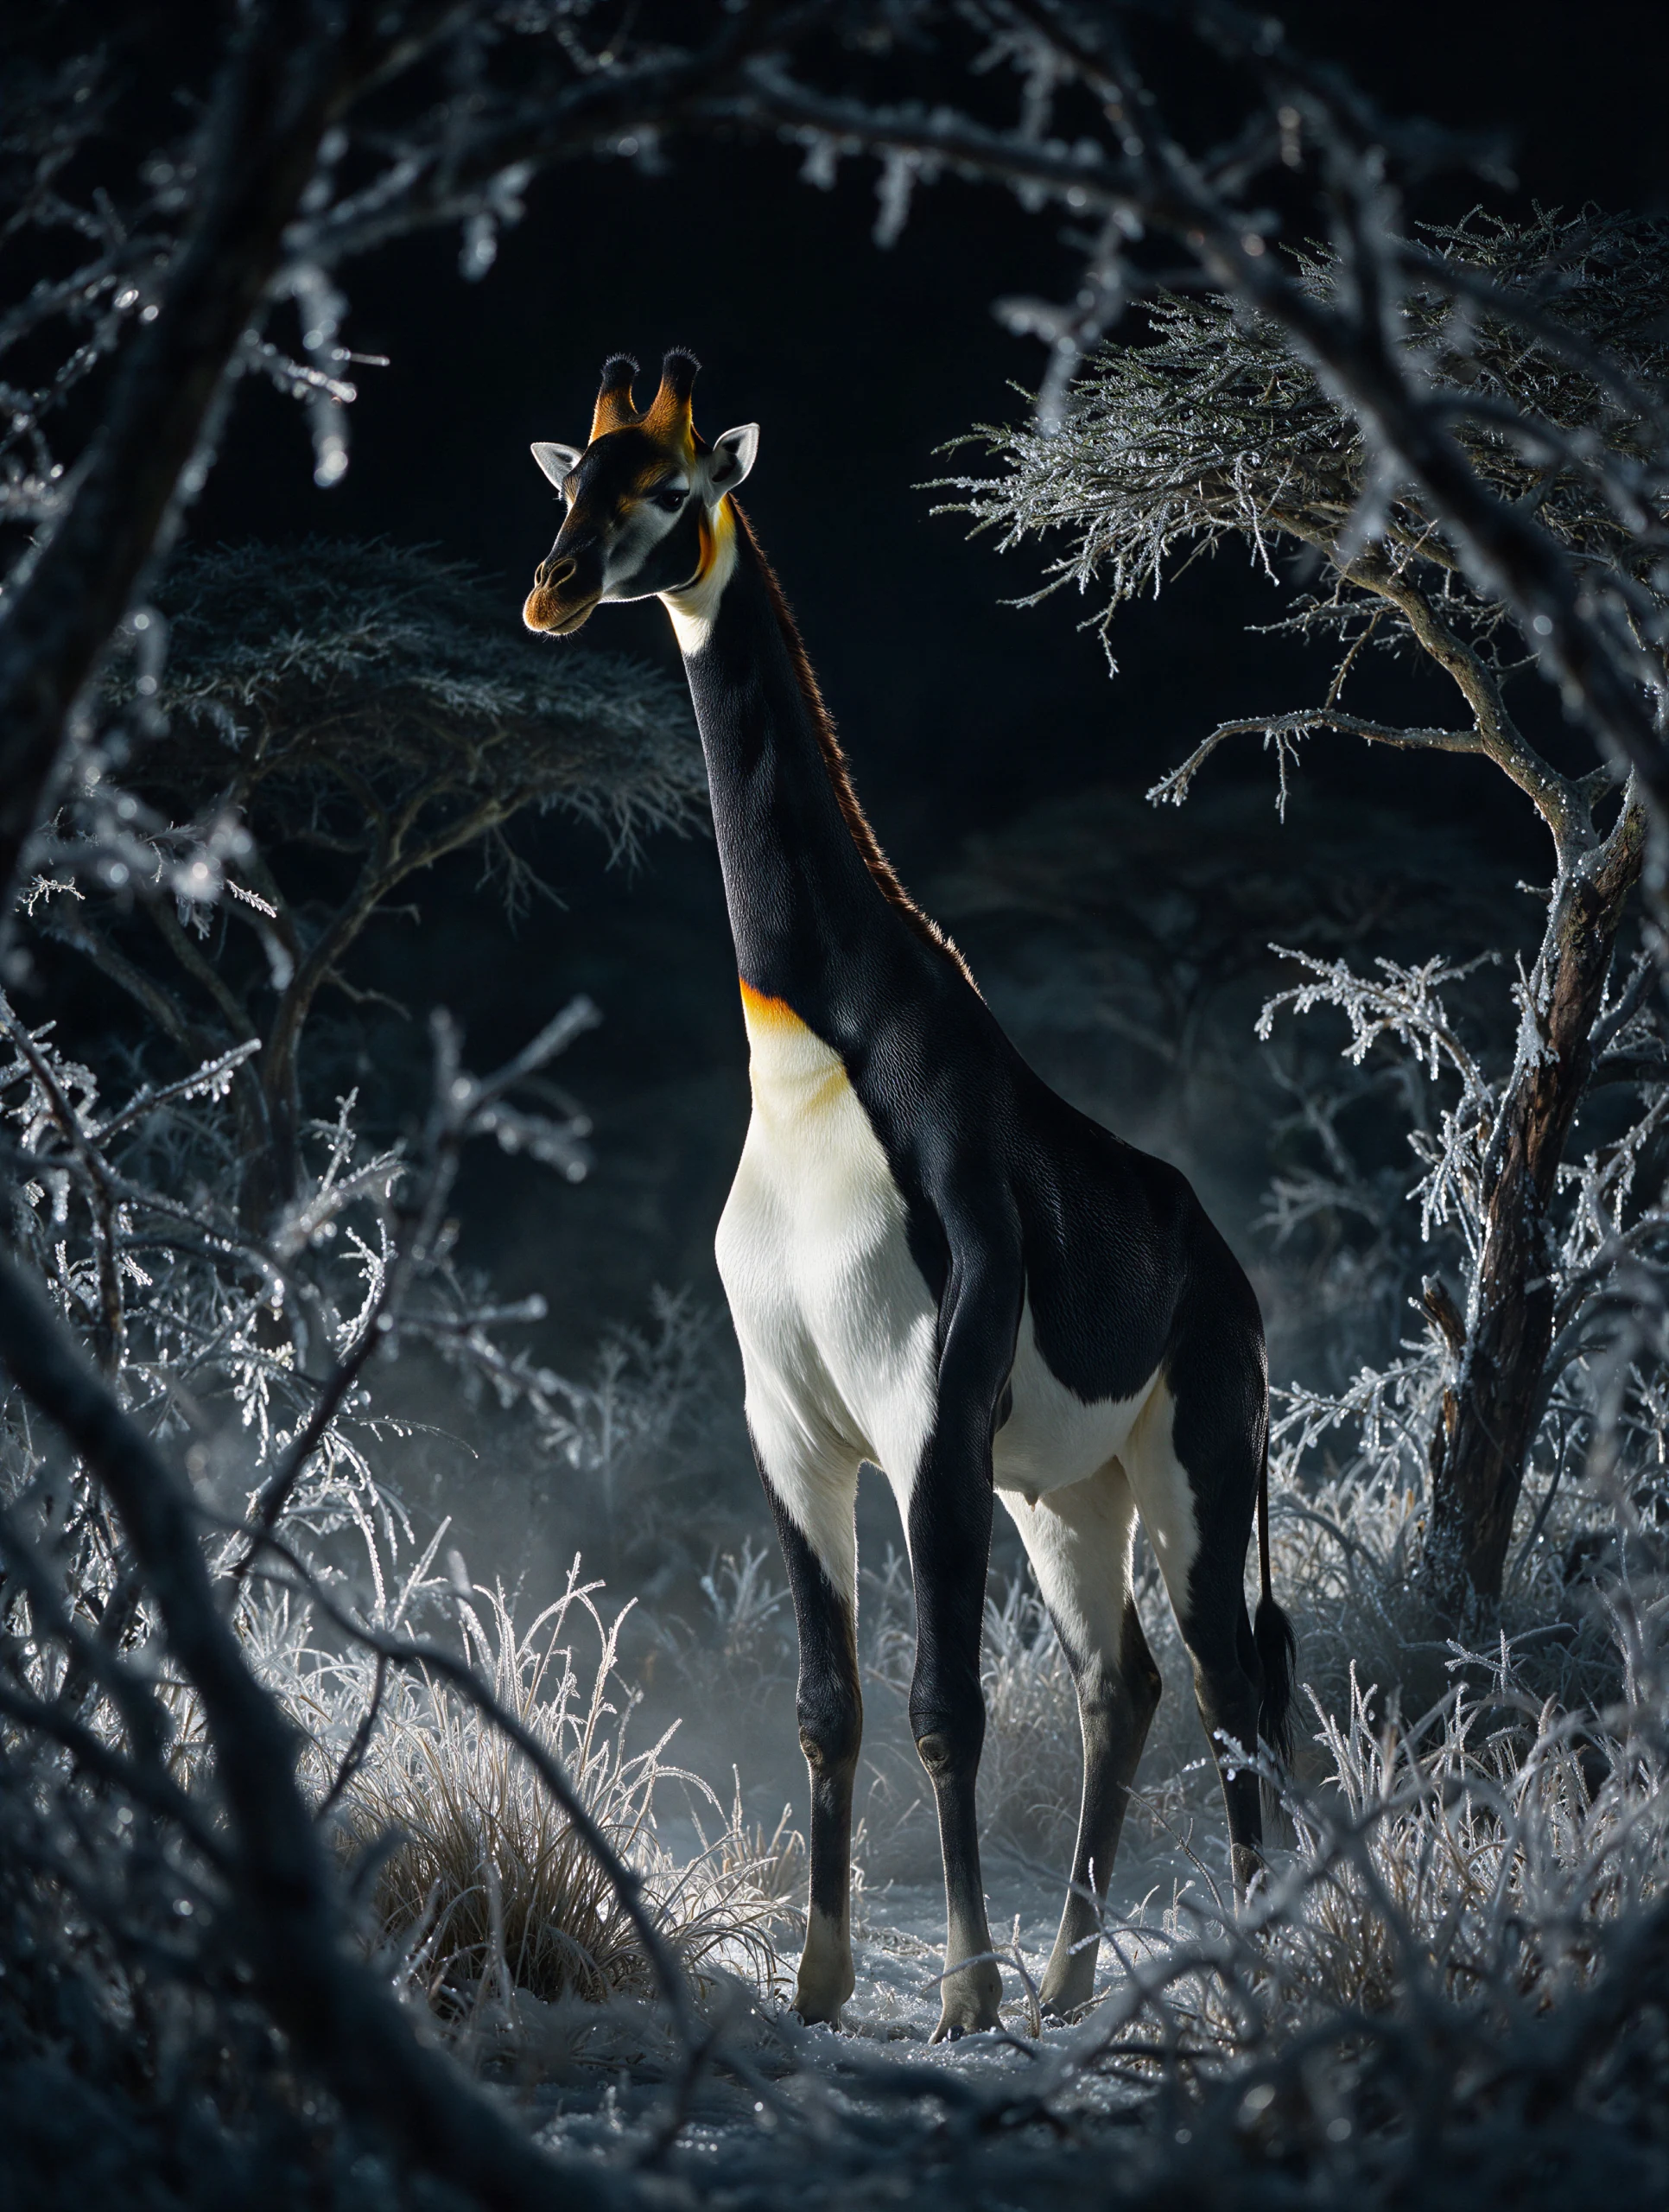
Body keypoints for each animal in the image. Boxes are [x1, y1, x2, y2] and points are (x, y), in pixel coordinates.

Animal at [522, 350, 1295, 2040]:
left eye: (670, 487)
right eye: (570, 482)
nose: (551, 594)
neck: (812, 1044)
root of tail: (1227, 1272)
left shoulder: (926, 1412)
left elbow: (947, 1705)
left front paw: (960, 1998)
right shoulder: (791, 1429)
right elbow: (830, 1705)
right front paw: (820, 1986)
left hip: (1197, 1462)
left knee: (1232, 1677)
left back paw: (1256, 1959)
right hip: (1067, 1495)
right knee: (1126, 1682)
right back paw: (1076, 1979)